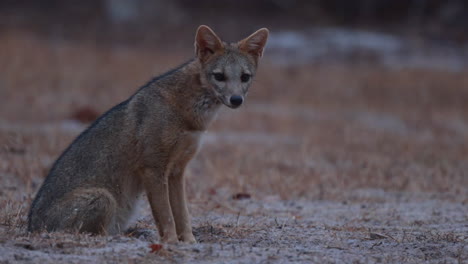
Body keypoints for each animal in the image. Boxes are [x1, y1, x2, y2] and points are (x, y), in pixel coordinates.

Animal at [27, 25, 268, 242]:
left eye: (245, 77)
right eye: (219, 76)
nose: (236, 100)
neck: (189, 114)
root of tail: (31, 227)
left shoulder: (176, 171)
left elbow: (182, 215)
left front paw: (189, 242)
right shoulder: (153, 169)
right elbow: (166, 216)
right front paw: (170, 243)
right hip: (104, 198)